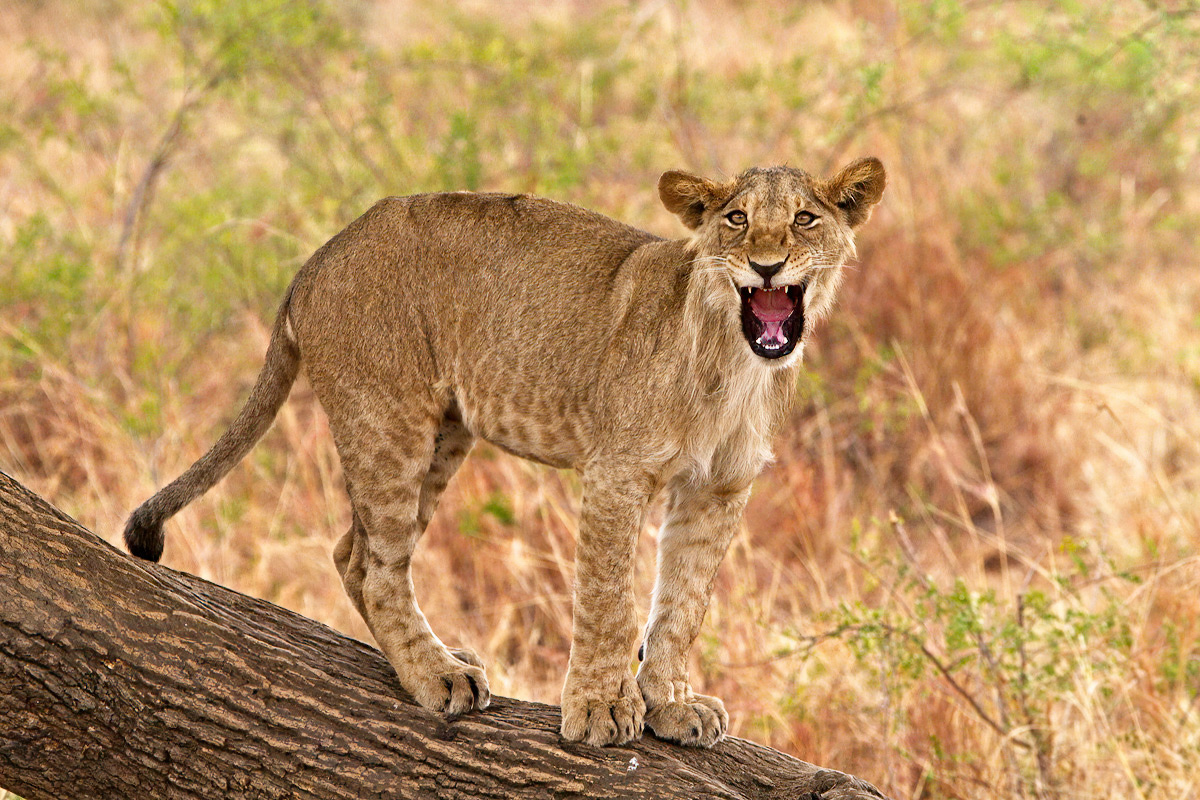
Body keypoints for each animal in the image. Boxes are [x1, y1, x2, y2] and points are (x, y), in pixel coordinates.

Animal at [126, 159, 888, 748]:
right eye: (735, 219)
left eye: (805, 220)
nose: (766, 263)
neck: (736, 363)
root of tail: (317, 258)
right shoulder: (616, 474)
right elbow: (608, 599)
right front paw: (600, 709)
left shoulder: (720, 490)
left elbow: (684, 601)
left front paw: (672, 704)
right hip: (388, 418)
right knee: (375, 566)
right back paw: (438, 677)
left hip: (443, 434)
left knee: (351, 551)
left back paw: (436, 657)